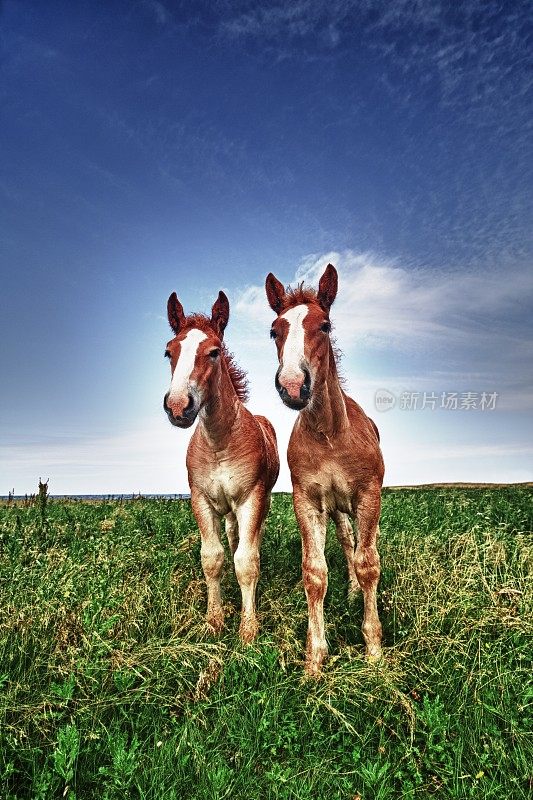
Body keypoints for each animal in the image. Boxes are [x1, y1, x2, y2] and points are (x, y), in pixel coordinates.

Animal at [162, 290, 278, 640]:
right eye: (169, 352)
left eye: (214, 352)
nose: (178, 406)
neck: (219, 443)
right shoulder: (201, 500)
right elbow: (212, 558)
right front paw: (213, 620)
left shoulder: (251, 499)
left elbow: (247, 562)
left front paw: (248, 629)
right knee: (232, 536)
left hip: (261, 502)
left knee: (251, 542)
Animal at [264, 264, 382, 676]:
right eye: (274, 330)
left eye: (325, 325)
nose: (293, 385)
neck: (329, 435)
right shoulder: (308, 502)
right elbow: (315, 573)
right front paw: (314, 659)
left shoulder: (368, 496)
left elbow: (368, 565)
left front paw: (374, 649)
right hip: (337, 509)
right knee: (347, 540)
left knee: (363, 547)